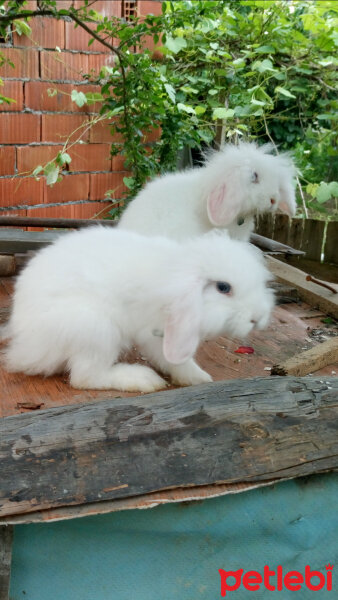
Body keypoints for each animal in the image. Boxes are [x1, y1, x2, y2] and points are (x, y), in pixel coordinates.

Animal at [0, 227, 274, 392]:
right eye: (223, 287)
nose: (258, 318)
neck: (179, 276)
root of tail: (25, 345)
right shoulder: (157, 333)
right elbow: (173, 360)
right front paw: (197, 378)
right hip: (96, 330)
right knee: (85, 377)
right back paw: (142, 379)